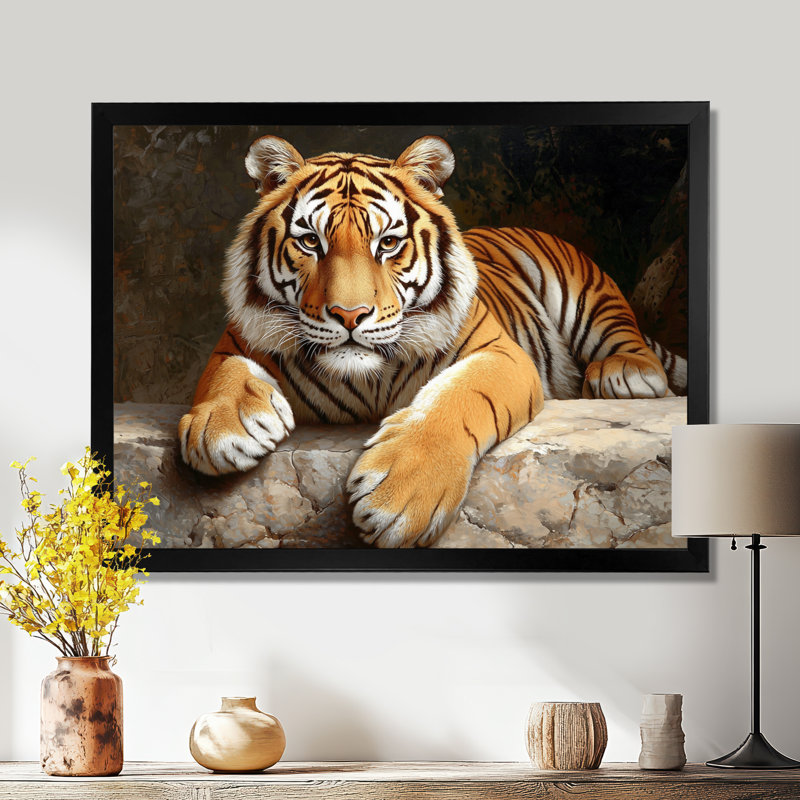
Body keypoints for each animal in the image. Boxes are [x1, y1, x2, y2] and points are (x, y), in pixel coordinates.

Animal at [178, 134, 687, 548]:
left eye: (387, 243)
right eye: (310, 242)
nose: (349, 314)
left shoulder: (499, 354)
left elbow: (459, 398)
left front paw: (399, 499)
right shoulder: (237, 337)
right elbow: (223, 371)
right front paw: (220, 429)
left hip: (585, 292)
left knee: (623, 332)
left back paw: (626, 373)